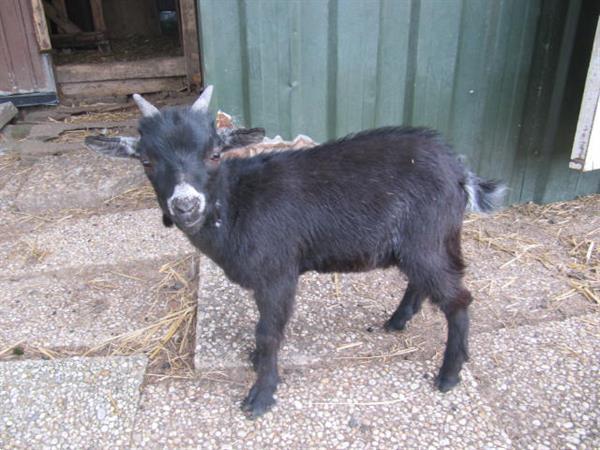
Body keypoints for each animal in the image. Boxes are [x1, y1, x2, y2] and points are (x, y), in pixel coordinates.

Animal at [85, 87, 506, 418]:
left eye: (214, 154)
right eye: (146, 160)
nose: (186, 206)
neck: (234, 205)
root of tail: (459, 171)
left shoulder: (278, 274)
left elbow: (269, 331)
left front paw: (261, 395)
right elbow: (263, 329)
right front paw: (257, 363)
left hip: (427, 239)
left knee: (458, 299)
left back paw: (448, 375)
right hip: (420, 244)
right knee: (424, 282)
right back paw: (397, 321)